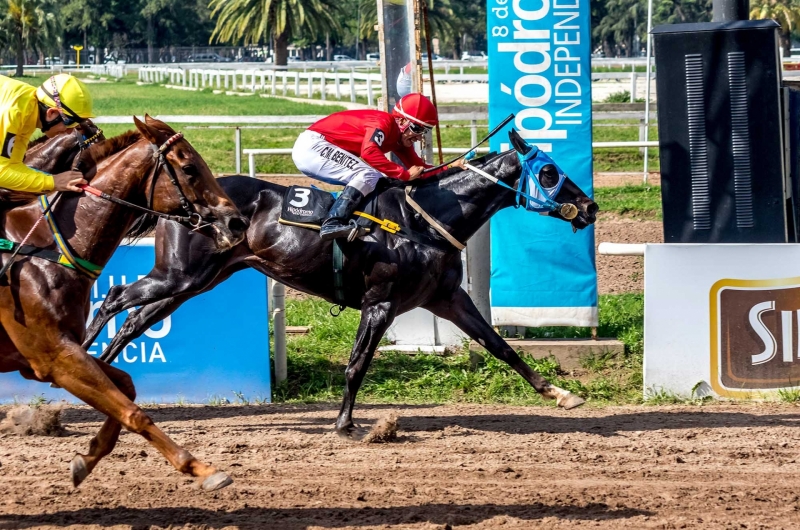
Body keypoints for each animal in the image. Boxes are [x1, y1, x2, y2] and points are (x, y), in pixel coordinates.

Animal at [0, 115, 248, 490]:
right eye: (189, 168)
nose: (237, 222)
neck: (49, 247)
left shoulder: (50, 357)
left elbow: (128, 388)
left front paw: (88, 457)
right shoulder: (53, 357)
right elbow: (133, 412)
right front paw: (201, 469)